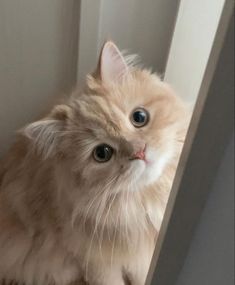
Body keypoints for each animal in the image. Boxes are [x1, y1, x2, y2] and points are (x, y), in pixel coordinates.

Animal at [0, 41, 189, 284]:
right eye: (102, 153)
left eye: (139, 117)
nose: (139, 151)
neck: (139, 206)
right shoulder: (96, 262)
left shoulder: (142, 255)